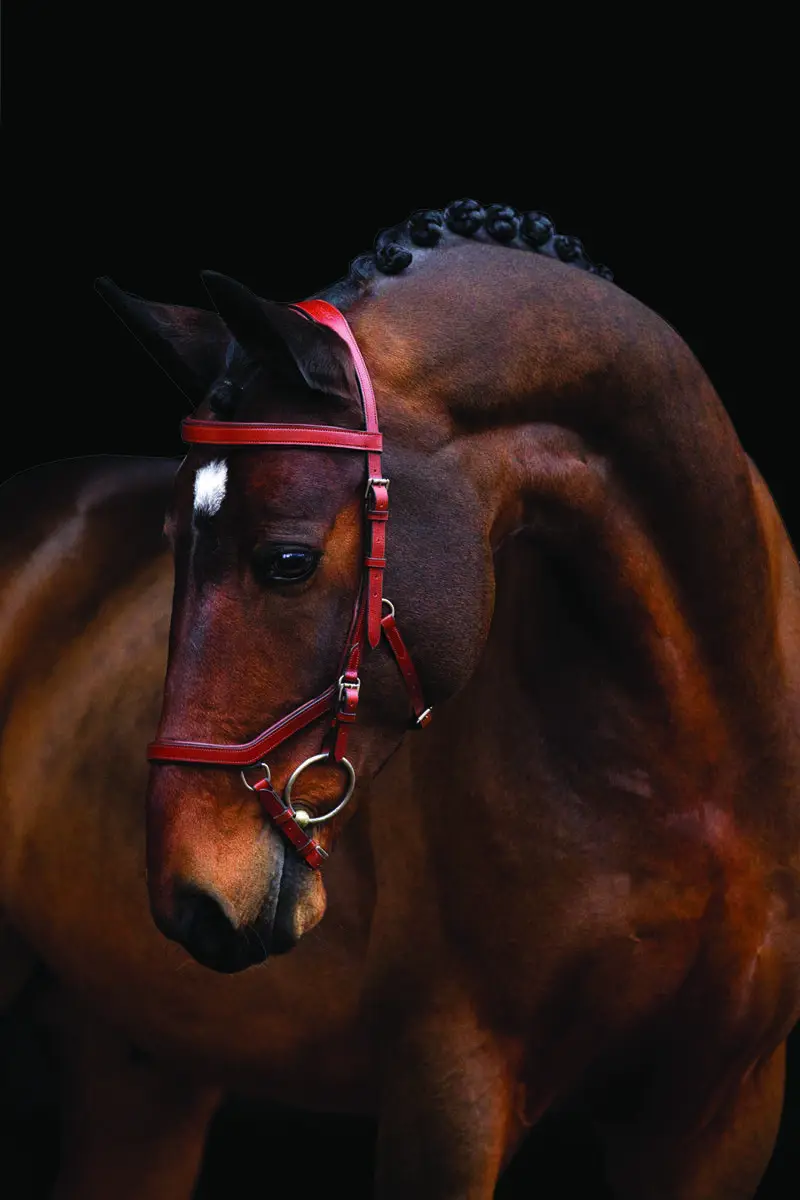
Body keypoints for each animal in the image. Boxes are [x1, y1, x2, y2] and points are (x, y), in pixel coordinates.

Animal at [1, 198, 798, 1199]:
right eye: (168, 542)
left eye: (288, 560)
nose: (189, 893)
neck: (697, 762)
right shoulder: (450, 1083)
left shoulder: (721, 1112)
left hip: (140, 1070)